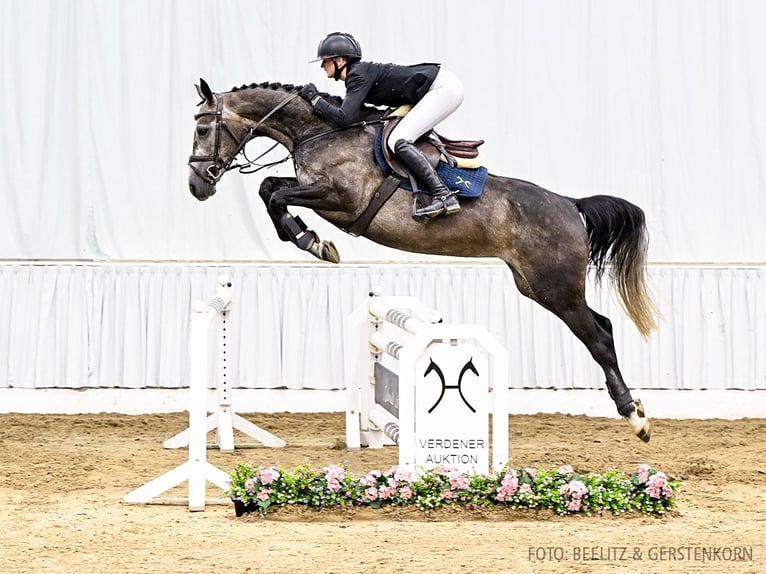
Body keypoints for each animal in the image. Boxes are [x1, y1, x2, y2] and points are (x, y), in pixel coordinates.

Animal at [188, 79, 660, 444]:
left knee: (599, 337)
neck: (319, 134)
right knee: (602, 327)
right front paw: (313, 240)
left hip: (556, 288)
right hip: (535, 285)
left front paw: (313, 242)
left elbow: (276, 194)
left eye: (204, 129)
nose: (197, 186)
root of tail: (570, 204)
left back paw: (634, 417)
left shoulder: (341, 199)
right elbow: (270, 187)